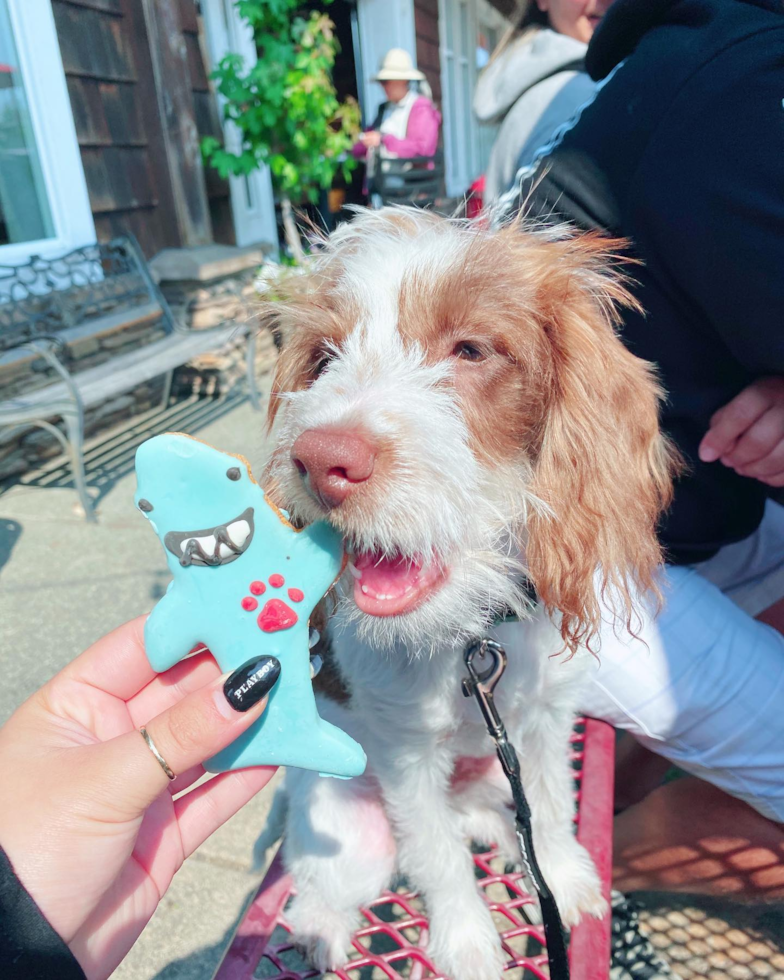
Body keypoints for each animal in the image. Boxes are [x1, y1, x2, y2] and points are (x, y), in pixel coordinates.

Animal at [258, 209, 672, 980]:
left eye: (471, 350)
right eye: (324, 358)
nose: (320, 460)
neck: (474, 637)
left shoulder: (545, 718)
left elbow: (551, 803)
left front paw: (563, 874)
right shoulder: (405, 754)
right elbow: (435, 855)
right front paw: (465, 940)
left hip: (487, 778)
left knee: (487, 816)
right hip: (349, 829)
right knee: (328, 883)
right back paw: (318, 933)